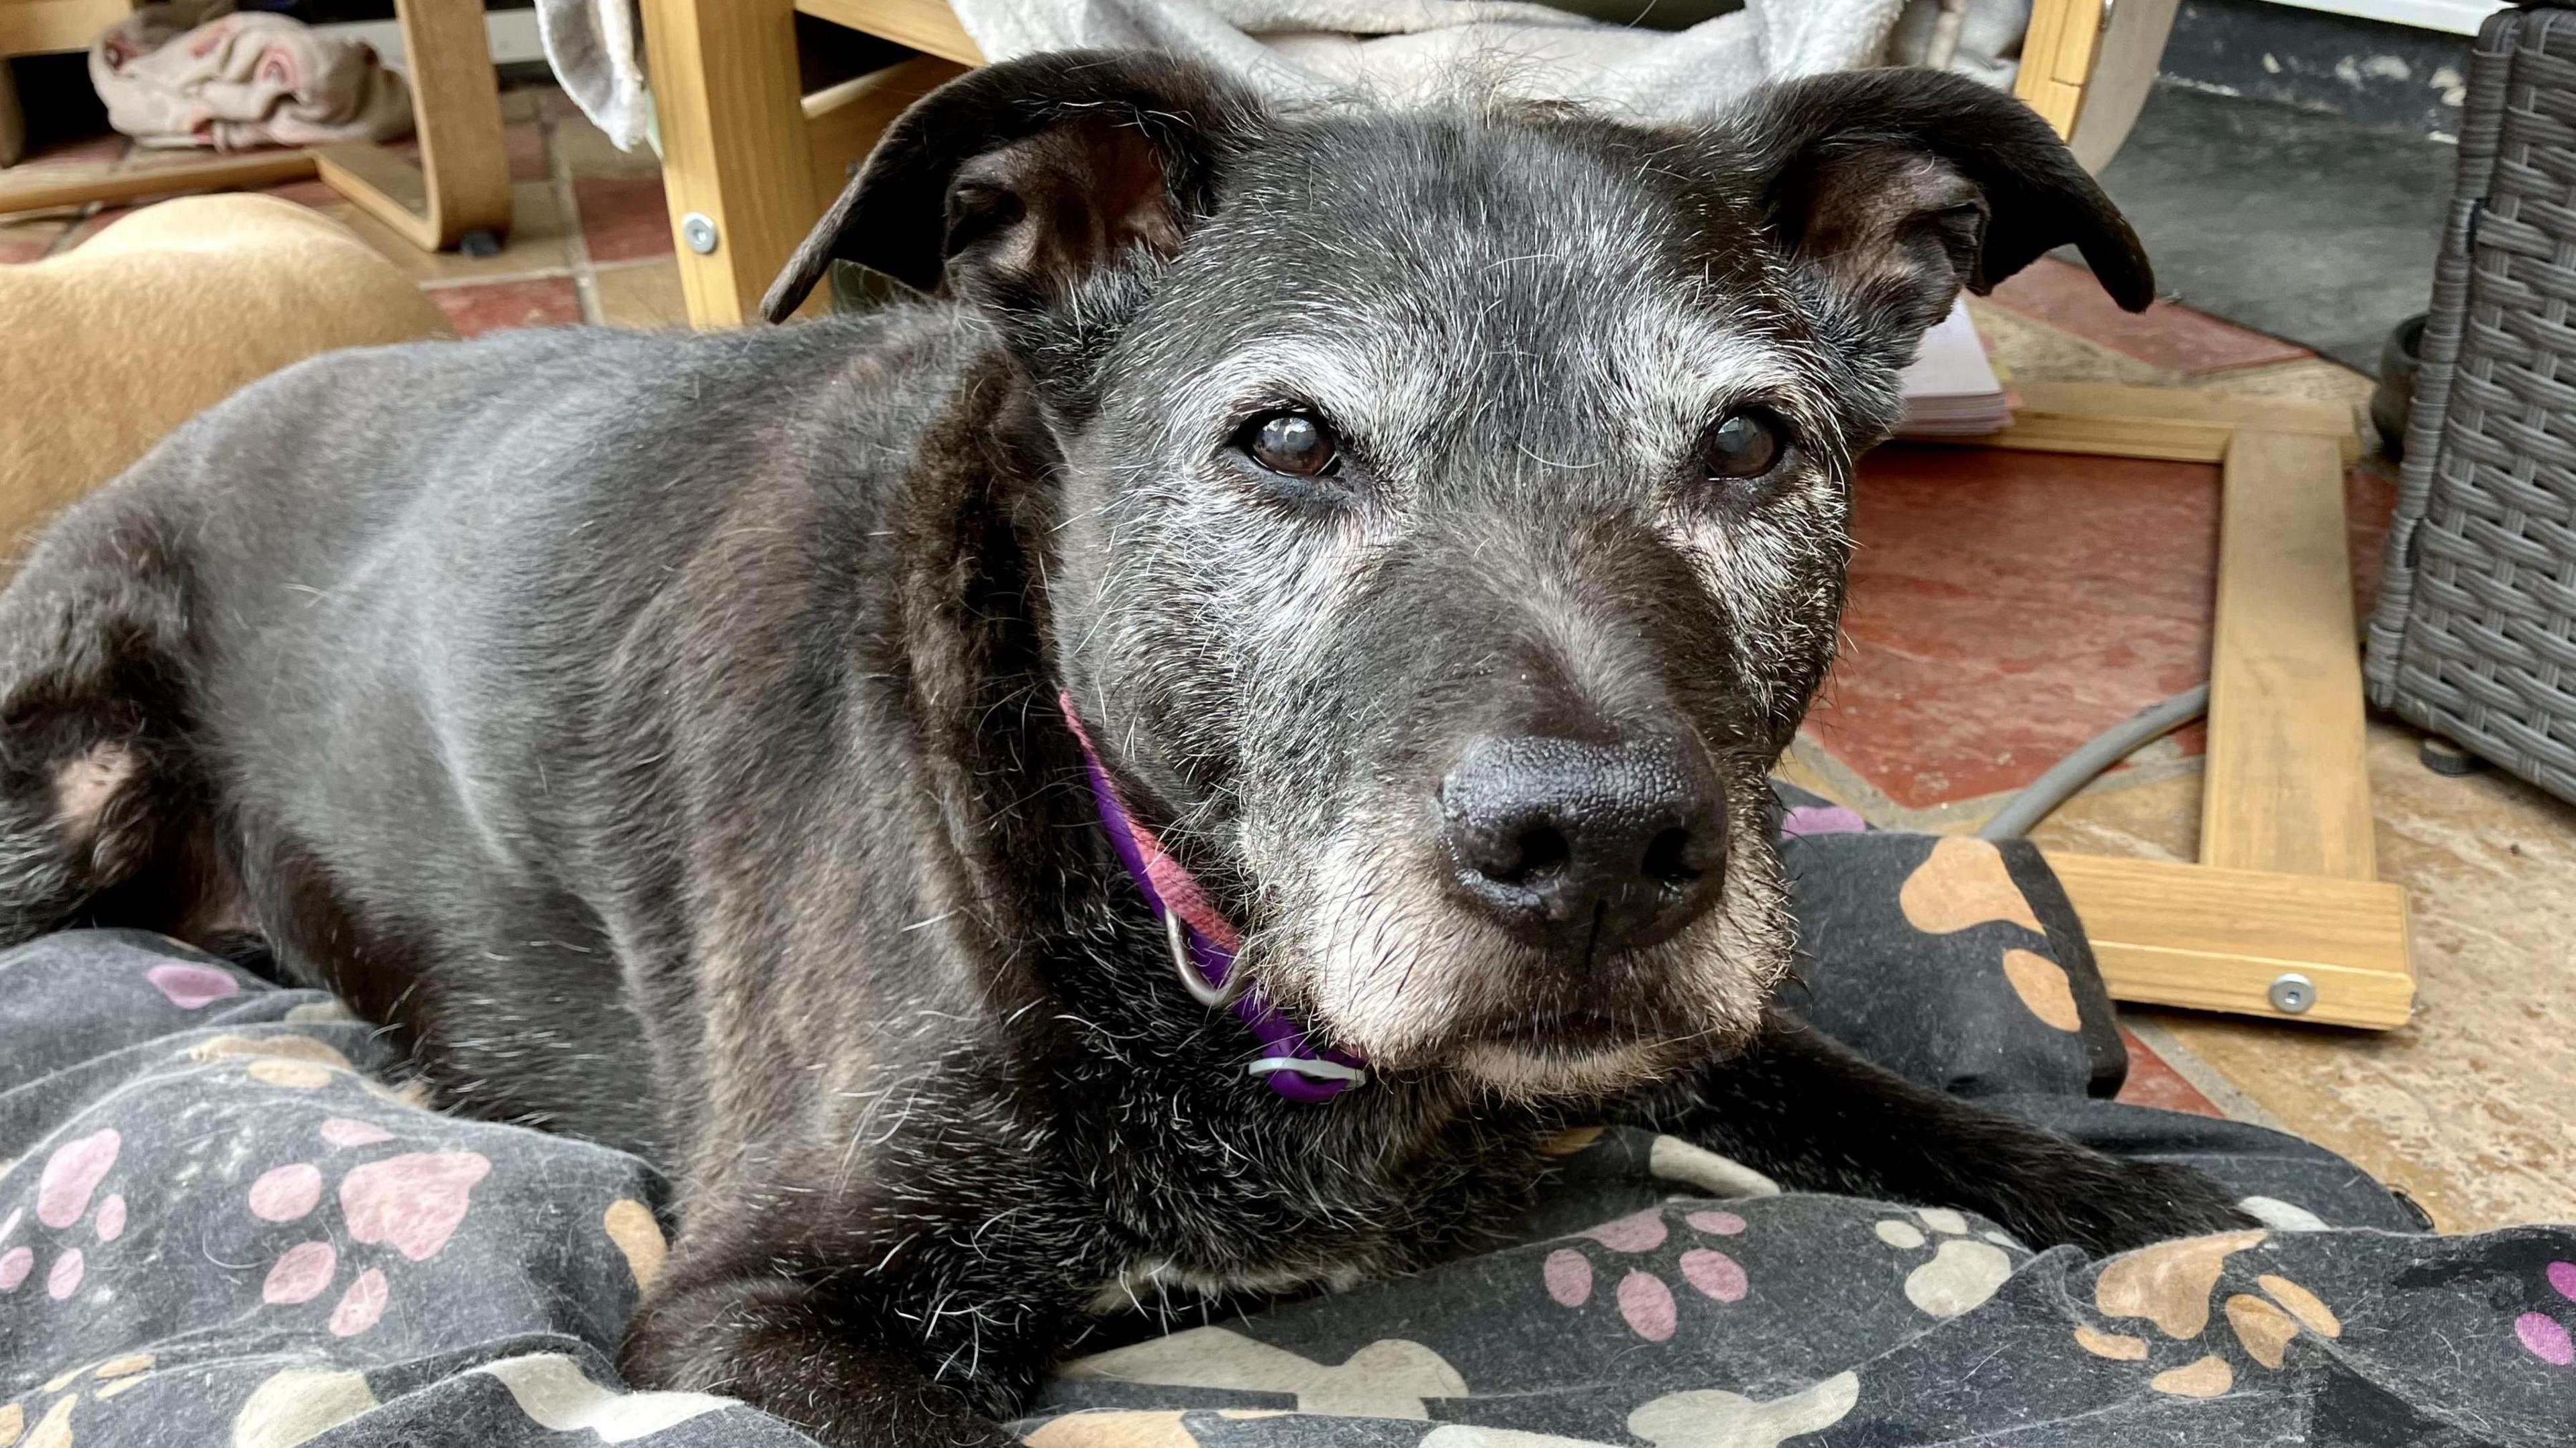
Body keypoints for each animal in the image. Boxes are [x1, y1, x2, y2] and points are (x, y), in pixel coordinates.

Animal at [0, 56, 2246, 1443]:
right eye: (1289, 438)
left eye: (1751, 442)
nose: (1602, 849)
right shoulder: (753, 1302)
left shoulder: (1684, 1012)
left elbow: (1904, 1101)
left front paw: (2179, 1236)